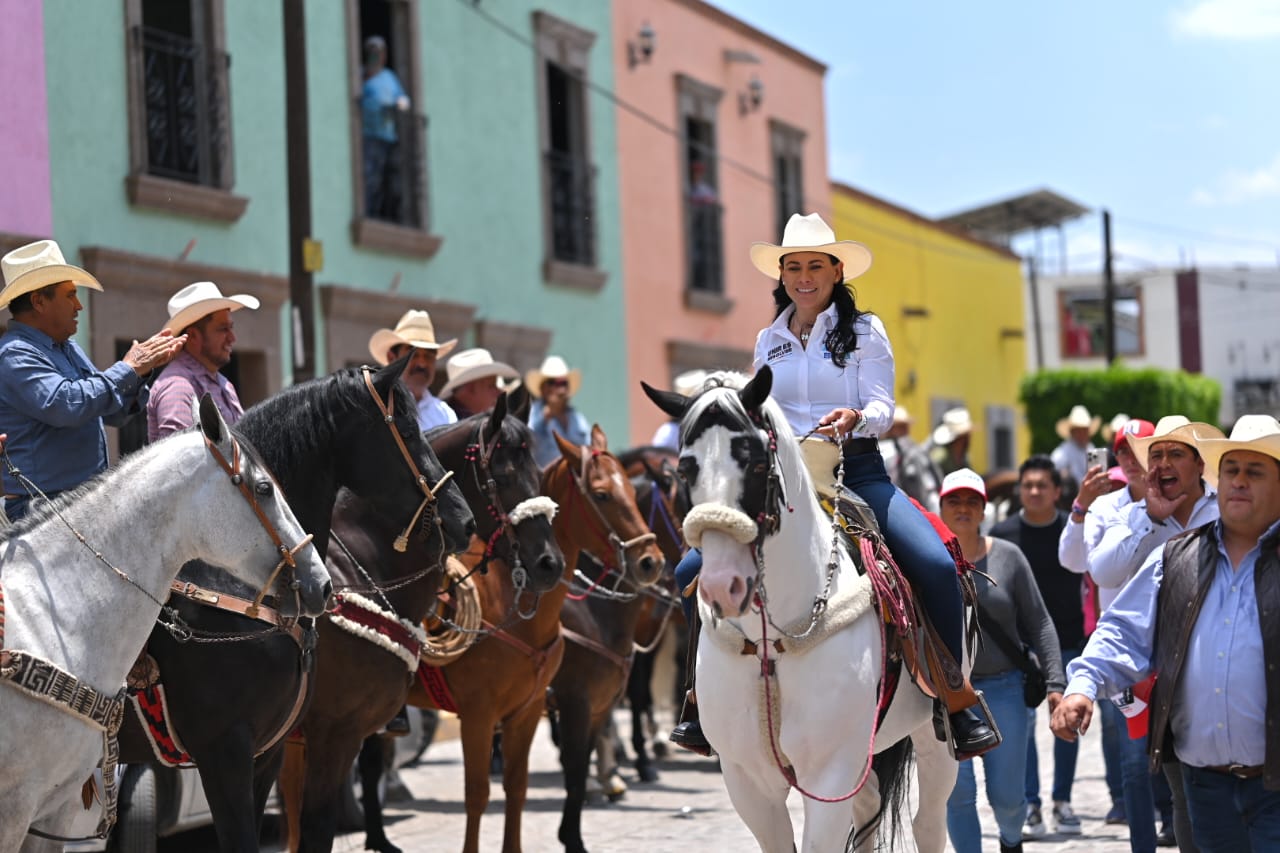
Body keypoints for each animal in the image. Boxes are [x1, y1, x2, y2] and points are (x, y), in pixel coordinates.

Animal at [546, 429, 666, 853]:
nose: (651, 562)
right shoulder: (575, 703)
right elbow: (574, 770)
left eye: (630, 489)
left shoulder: (599, 705)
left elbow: (580, 771)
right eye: (601, 495)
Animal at [642, 367, 962, 853]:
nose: (721, 583)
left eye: (757, 464)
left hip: (933, 739)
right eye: (684, 469)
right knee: (870, 810)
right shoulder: (747, 780)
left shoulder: (829, 774)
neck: (771, 641)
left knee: (928, 823)